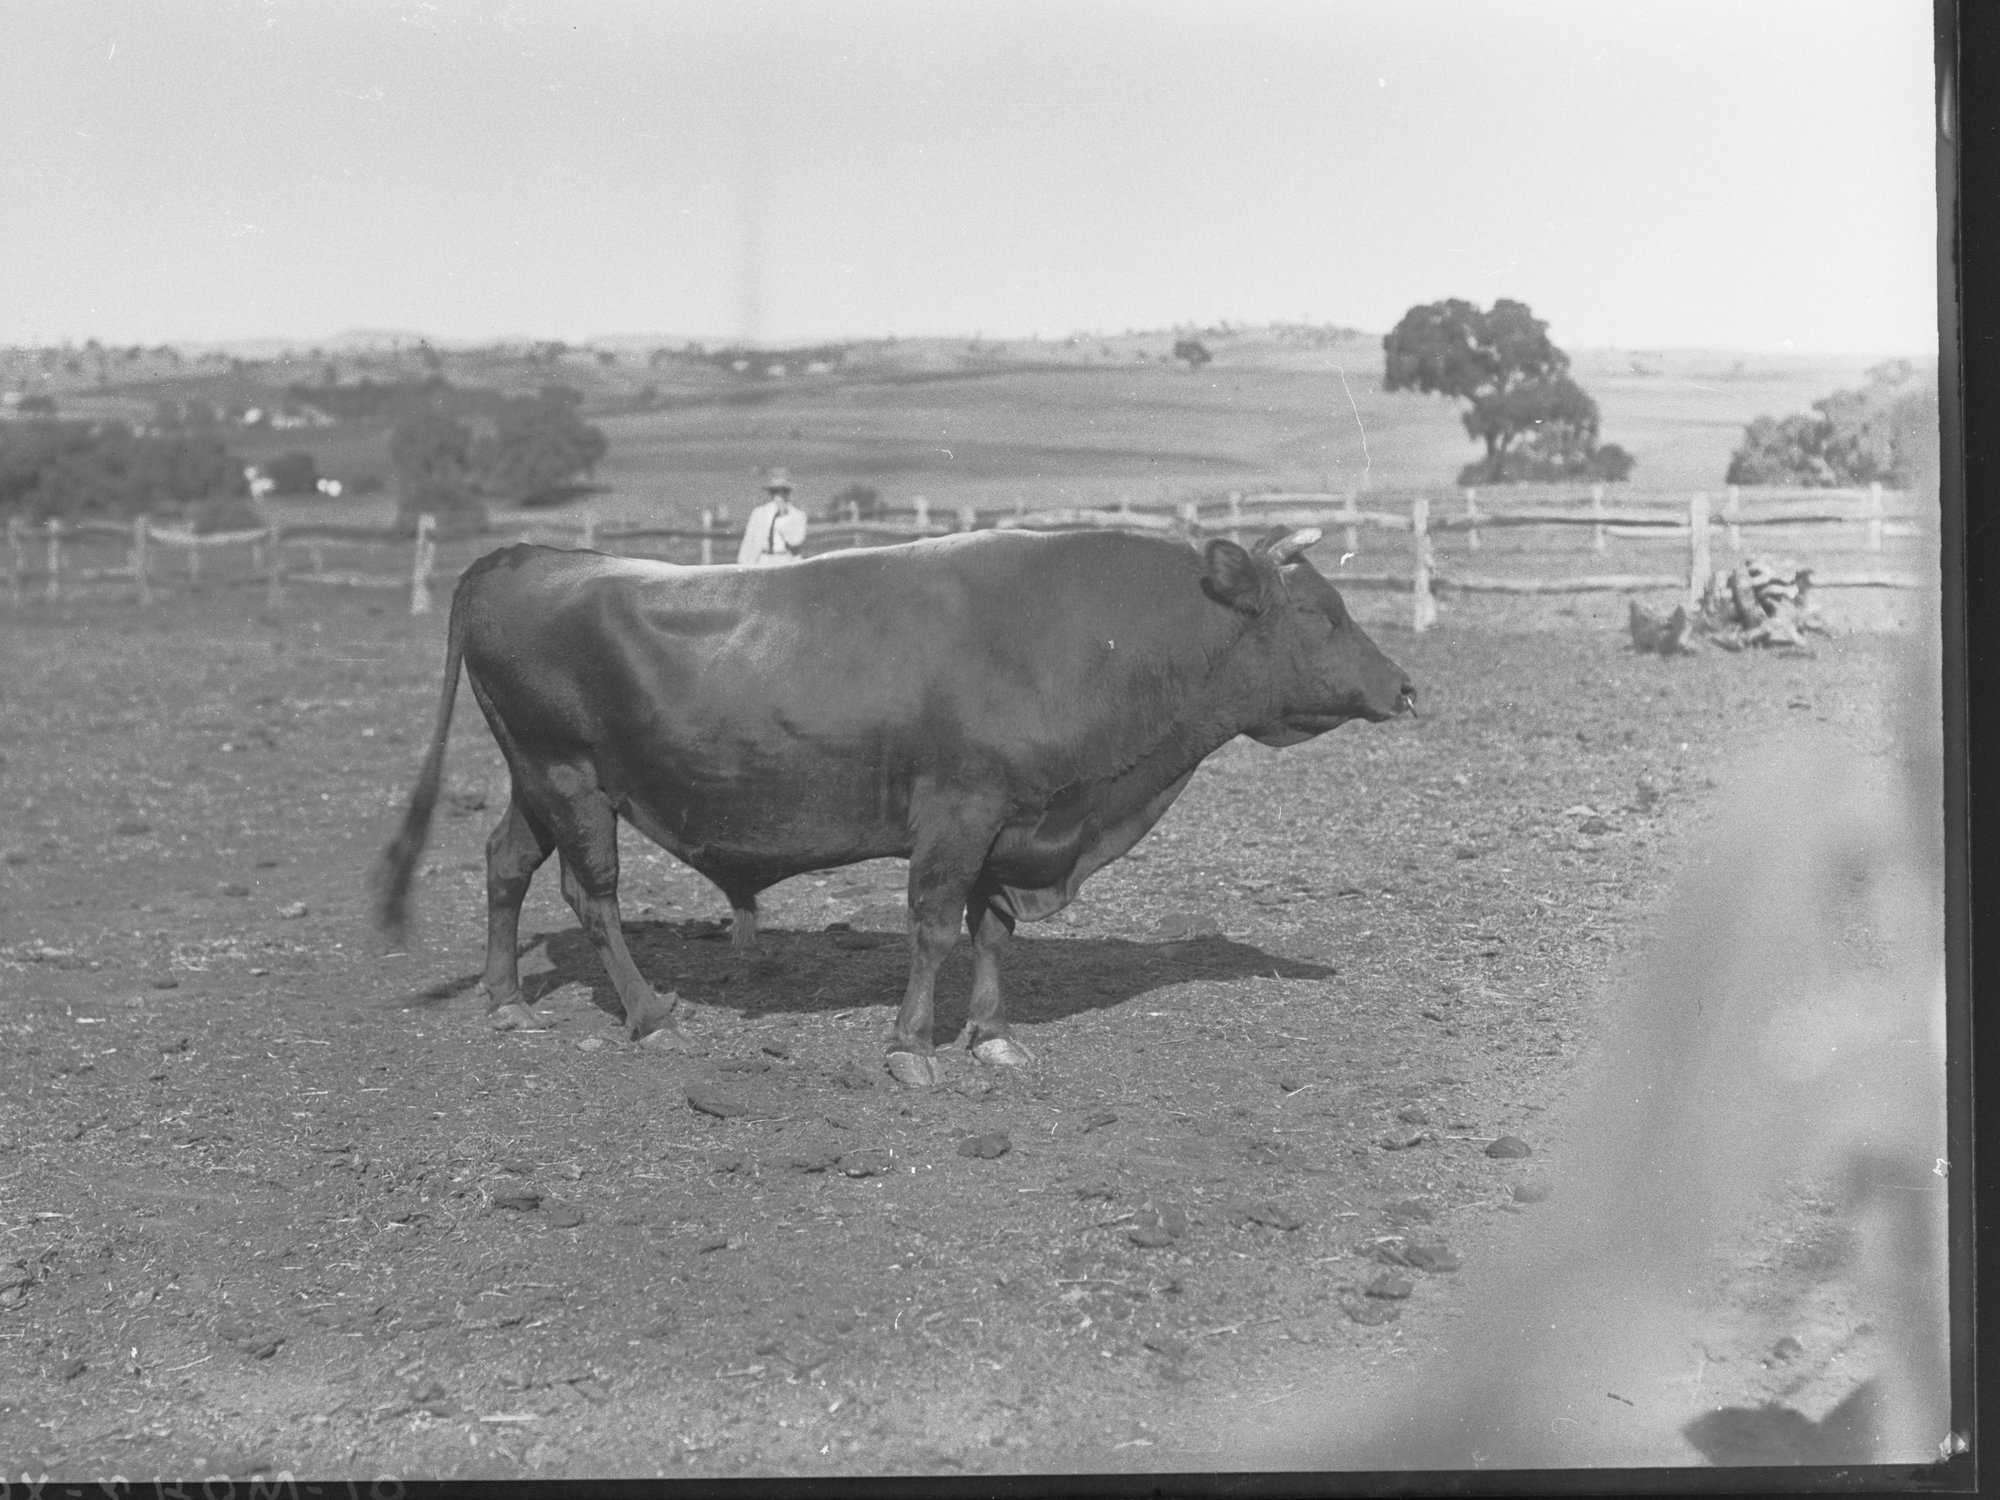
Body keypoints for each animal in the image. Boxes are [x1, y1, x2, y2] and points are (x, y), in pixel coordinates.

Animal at [370, 525, 1415, 1087]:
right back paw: (650, 1013)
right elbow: (934, 927)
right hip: (572, 781)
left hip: (532, 783)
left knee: (506, 866)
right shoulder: (957, 813)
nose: (1406, 688)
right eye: (1323, 614)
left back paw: (508, 1001)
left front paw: (993, 1037)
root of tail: (526, 554)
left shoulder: (1014, 824)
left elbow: (992, 933)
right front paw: (913, 1047)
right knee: (593, 898)